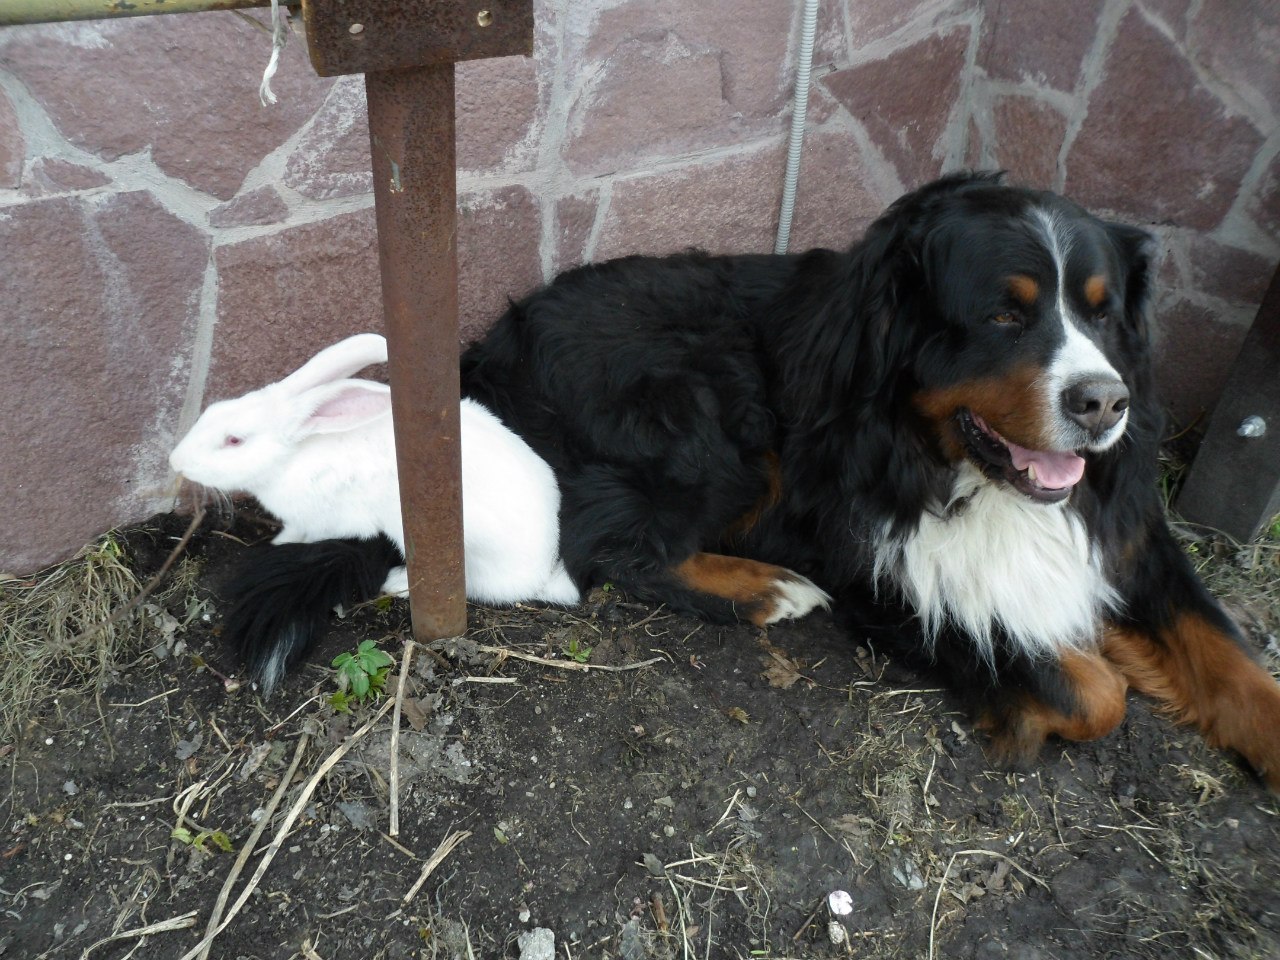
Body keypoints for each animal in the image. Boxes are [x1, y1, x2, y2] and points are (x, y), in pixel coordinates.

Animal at [167, 335, 578, 609]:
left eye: (234, 440)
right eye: (213, 410)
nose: (175, 461)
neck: (294, 455)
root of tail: (540, 572)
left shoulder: (327, 518)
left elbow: (309, 532)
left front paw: (284, 543)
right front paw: (280, 541)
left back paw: (395, 583)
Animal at [460, 171, 1280, 788]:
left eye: (1103, 315)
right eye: (1004, 316)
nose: (1105, 402)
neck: (949, 464)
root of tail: (490, 346)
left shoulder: (1130, 530)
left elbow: (1227, 653)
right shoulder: (881, 572)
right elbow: (1090, 692)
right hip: (711, 410)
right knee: (608, 544)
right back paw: (768, 587)